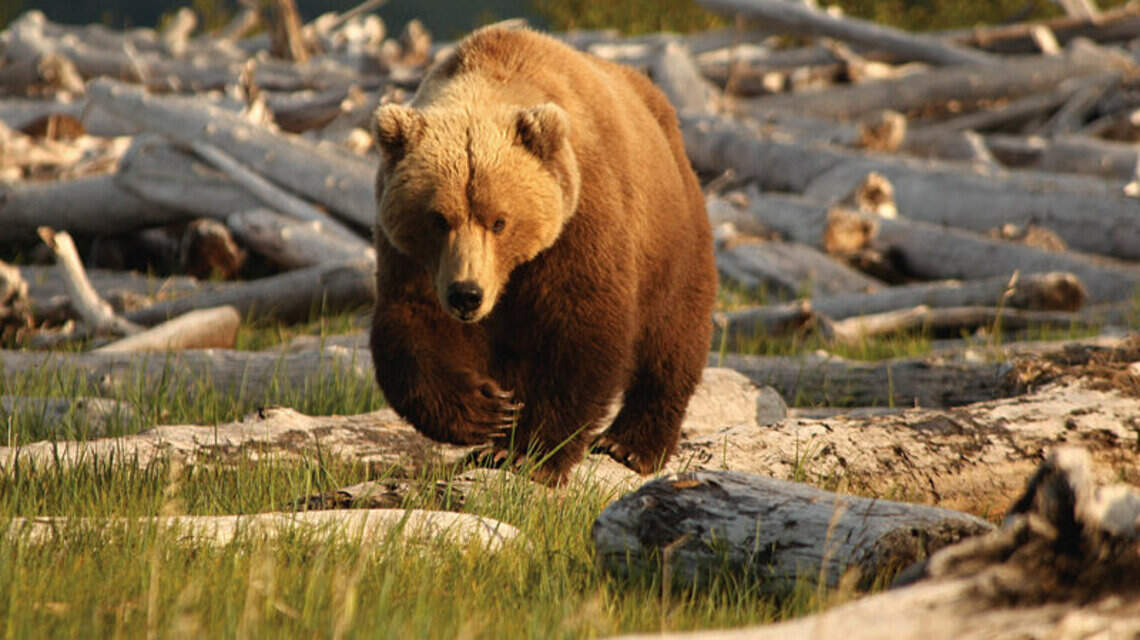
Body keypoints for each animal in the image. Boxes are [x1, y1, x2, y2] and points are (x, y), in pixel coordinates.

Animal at [369, 26, 717, 484]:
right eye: (439, 218)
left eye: (500, 221)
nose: (467, 295)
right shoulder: (415, 258)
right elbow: (414, 323)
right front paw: (487, 411)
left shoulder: (578, 223)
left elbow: (580, 330)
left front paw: (530, 453)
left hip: (672, 237)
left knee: (673, 338)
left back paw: (630, 445)